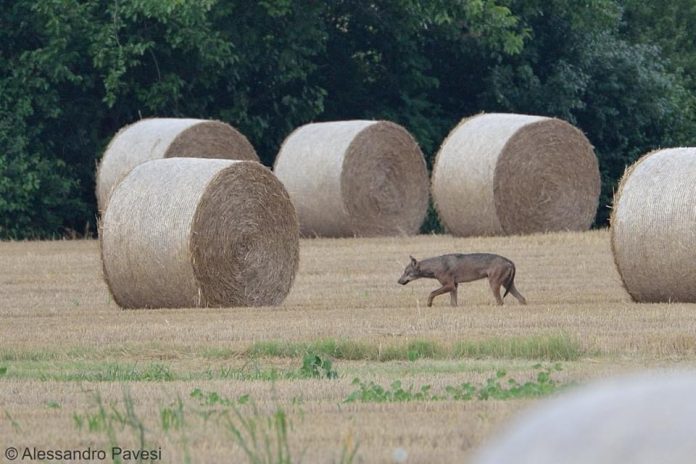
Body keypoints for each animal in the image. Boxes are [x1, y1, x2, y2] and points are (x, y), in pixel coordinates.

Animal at [396, 254, 528, 308]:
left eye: (406, 272)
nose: (398, 281)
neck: (434, 266)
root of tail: (509, 260)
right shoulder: (454, 286)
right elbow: (453, 303)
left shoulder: (449, 285)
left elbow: (431, 293)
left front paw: (429, 304)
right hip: (507, 285)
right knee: (522, 299)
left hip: (494, 284)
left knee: (500, 302)